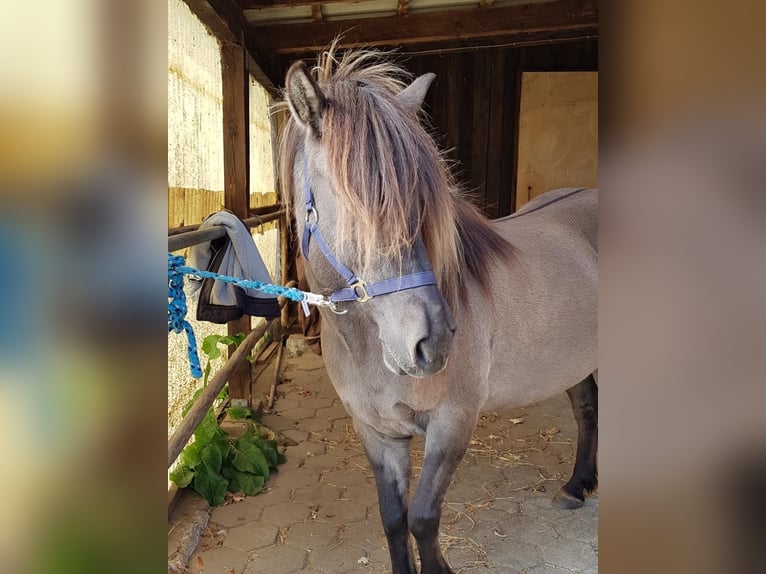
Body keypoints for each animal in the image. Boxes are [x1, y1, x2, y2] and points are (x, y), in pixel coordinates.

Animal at [278, 47, 600, 572]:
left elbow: (424, 518)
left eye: (422, 203)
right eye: (354, 204)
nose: (431, 342)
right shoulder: (376, 432)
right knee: (587, 407)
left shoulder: (452, 423)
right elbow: (393, 519)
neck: (367, 349)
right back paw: (576, 486)